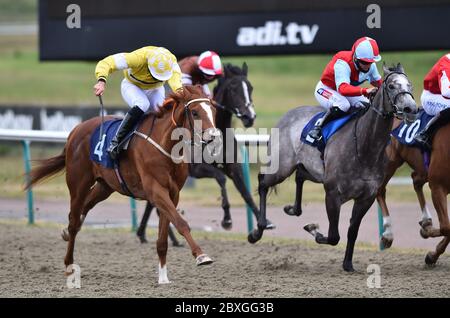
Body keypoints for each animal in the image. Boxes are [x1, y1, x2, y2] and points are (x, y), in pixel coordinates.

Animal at [25, 85, 219, 284]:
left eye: (213, 110)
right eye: (195, 112)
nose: (214, 137)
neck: (165, 144)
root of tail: (76, 129)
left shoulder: (172, 193)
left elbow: (163, 238)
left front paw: (163, 278)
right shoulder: (156, 190)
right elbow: (181, 223)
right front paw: (201, 256)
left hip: (105, 186)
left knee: (80, 212)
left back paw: (66, 232)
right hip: (78, 183)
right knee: (74, 221)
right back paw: (69, 264)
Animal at [135, 63, 272, 245]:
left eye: (250, 87)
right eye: (234, 88)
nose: (249, 117)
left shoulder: (233, 168)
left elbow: (246, 194)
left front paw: (261, 227)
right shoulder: (198, 169)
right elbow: (221, 178)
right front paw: (227, 220)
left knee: (155, 204)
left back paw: (148, 234)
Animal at [248, 64, 416, 270]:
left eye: (410, 85)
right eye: (392, 86)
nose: (411, 108)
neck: (364, 147)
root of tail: (288, 115)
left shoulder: (366, 197)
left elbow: (352, 232)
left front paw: (348, 264)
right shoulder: (333, 193)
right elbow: (334, 236)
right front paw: (313, 229)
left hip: (311, 170)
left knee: (299, 176)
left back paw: (293, 209)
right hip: (281, 167)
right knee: (263, 183)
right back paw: (257, 231)